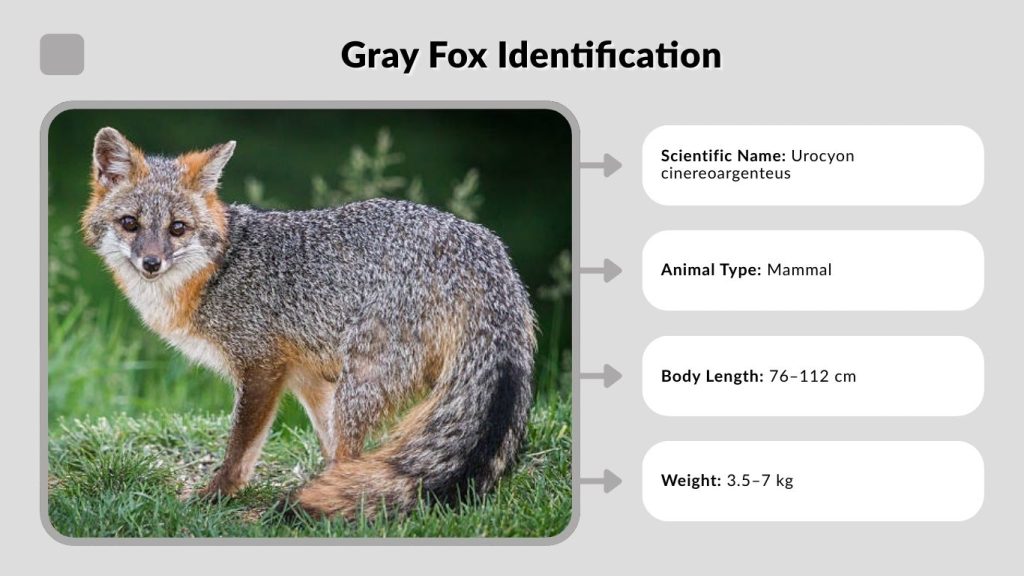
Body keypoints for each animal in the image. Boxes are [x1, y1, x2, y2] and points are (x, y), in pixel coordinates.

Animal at [80, 127, 537, 519]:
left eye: (177, 228)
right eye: (130, 223)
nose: (151, 263)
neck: (217, 270)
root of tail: (485, 252)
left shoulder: (262, 368)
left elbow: (240, 449)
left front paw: (218, 494)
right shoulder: (308, 379)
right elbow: (327, 446)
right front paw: (327, 487)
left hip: (361, 384)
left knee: (353, 450)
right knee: (350, 455)